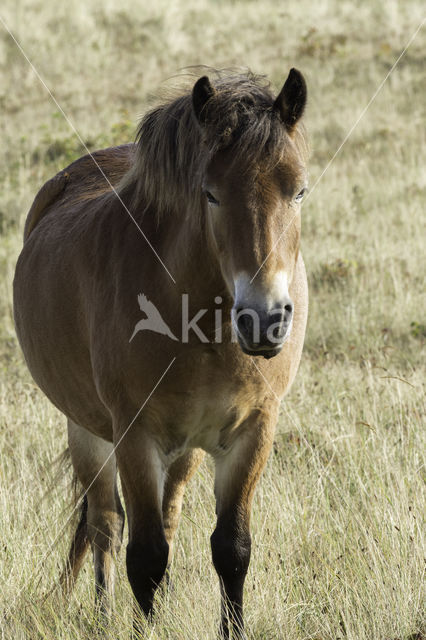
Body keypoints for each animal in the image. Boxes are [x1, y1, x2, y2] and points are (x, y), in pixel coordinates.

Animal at [13, 70, 308, 640]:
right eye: (210, 194)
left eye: (299, 190)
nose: (264, 319)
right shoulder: (135, 434)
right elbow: (144, 554)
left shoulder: (253, 430)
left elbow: (231, 548)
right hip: (86, 430)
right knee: (105, 523)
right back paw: (105, 614)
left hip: (185, 447)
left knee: (165, 517)